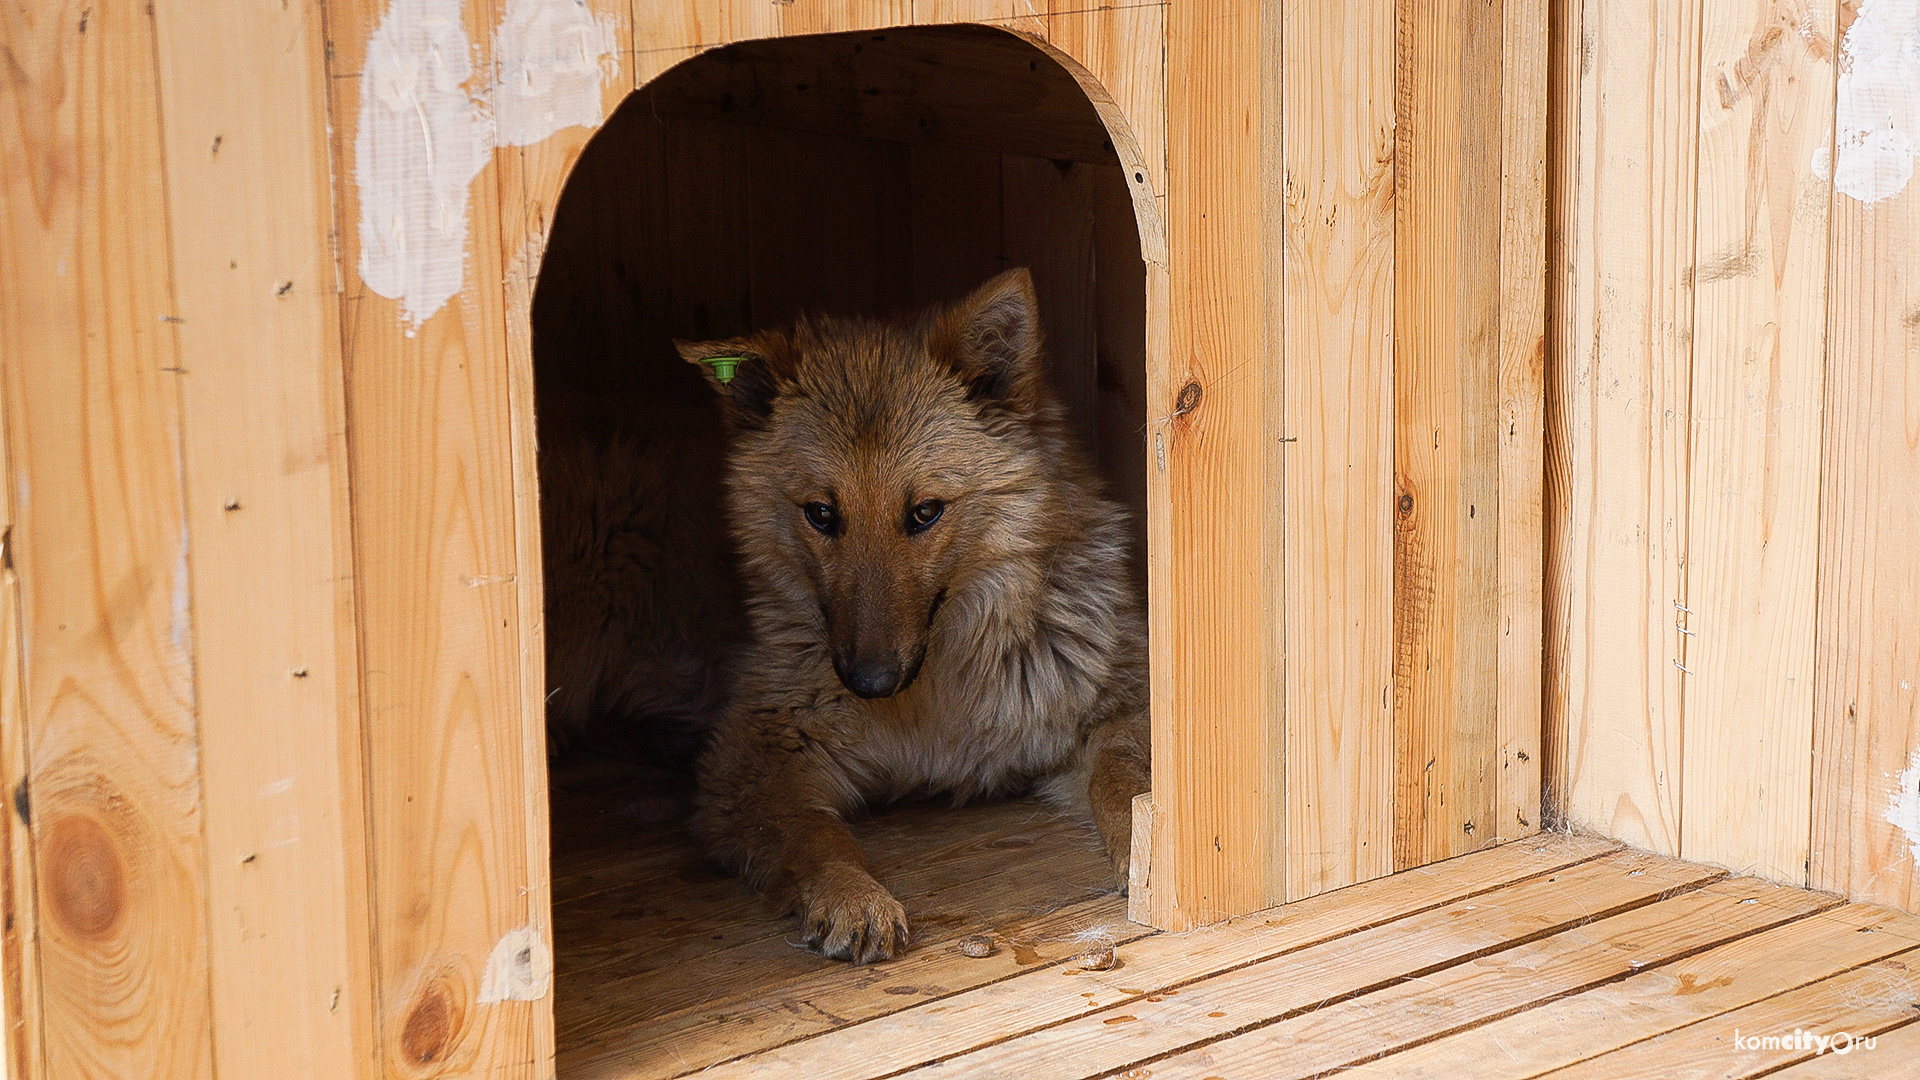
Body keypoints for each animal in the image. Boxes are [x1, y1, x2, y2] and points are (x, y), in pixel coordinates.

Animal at [679, 267, 1144, 957]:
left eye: (925, 512)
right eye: (822, 513)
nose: (869, 682)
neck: (934, 706)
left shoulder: (1112, 709)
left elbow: (1122, 777)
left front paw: (1151, 847)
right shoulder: (752, 764)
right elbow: (814, 832)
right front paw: (850, 895)